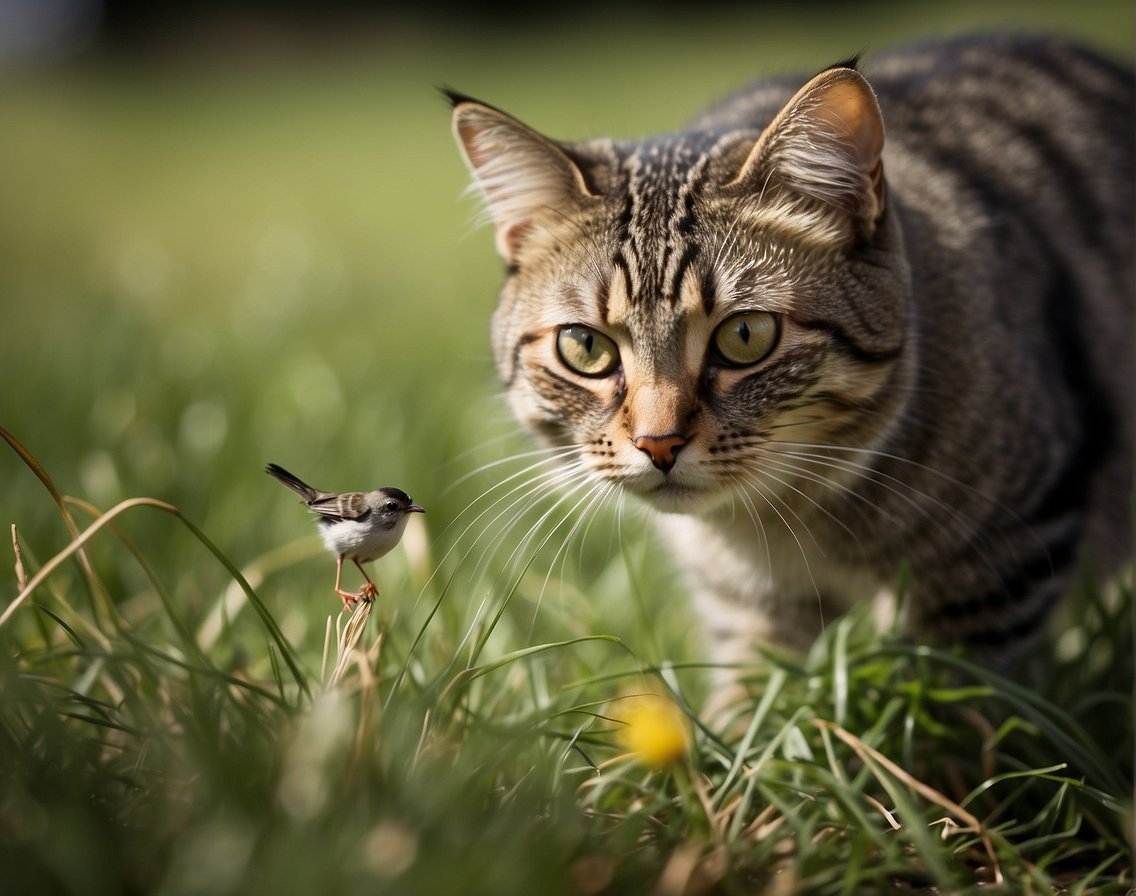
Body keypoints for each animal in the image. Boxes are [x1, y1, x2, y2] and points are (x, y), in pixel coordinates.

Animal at [447, 31, 1131, 681]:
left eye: (745, 336)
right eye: (585, 346)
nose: (658, 444)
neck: (786, 523)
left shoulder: (1001, 565)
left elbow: (961, 699)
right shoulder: (748, 609)